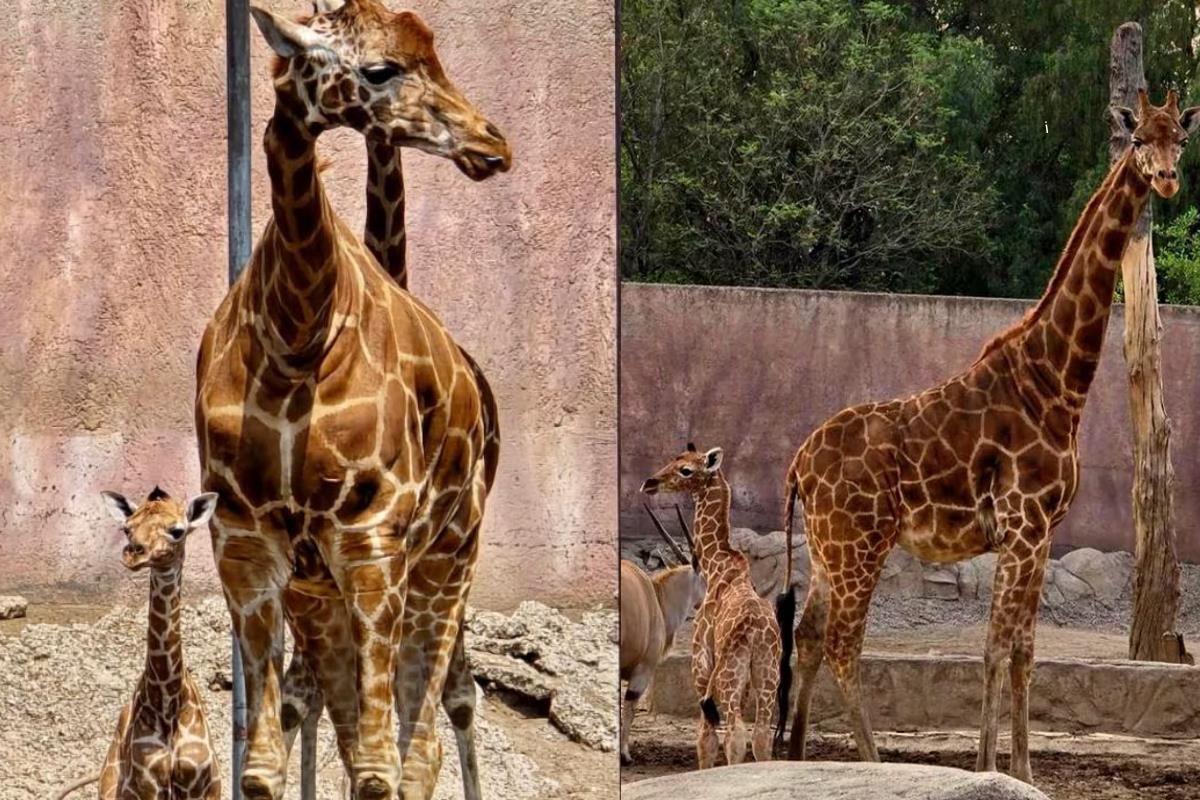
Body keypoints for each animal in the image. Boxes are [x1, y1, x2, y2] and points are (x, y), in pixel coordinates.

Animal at [56, 484, 220, 796]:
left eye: (177, 530)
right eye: (127, 528)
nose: (133, 553)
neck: (168, 702)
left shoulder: (201, 783)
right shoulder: (147, 785)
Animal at [195, 3, 511, 796]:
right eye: (379, 69)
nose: (492, 142)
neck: (294, 334)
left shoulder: (372, 540)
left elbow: (375, 766)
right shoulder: (246, 544)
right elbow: (263, 765)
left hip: (448, 558)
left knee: (428, 732)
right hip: (327, 591)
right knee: (347, 717)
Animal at [643, 443, 782, 767]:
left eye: (686, 470)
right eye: (675, 459)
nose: (650, 483)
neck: (717, 567)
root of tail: (757, 631)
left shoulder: (702, 661)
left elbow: (705, 738)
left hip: (731, 672)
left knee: (735, 732)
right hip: (767, 673)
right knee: (761, 735)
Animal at [772, 89, 1195, 782]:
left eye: (1180, 139)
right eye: (1137, 141)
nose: (1166, 178)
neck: (1055, 383)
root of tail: (798, 467)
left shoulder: (1043, 533)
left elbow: (1024, 649)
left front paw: (1024, 771)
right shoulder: (1021, 526)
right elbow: (995, 647)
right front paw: (988, 768)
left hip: (825, 549)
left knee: (808, 638)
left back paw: (803, 761)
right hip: (859, 545)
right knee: (841, 645)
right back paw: (874, 765)